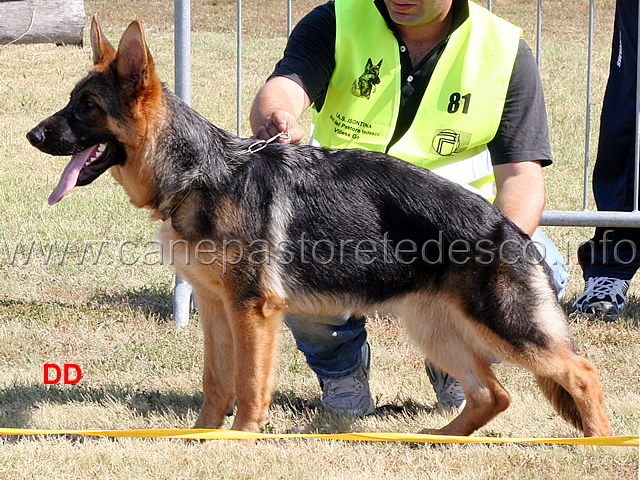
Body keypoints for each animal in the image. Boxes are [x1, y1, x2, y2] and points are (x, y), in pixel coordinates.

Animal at [27, 18, 612, 436]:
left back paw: (600, 445)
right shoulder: (216, 308)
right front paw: (201, 435)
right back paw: (436, 437)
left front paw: (242, 438)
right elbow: (216, 382)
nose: (32, 136)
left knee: (580, 373)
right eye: (71, 101)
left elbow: (249, 382)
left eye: (86, 106)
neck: (202, 171)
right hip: (434, 329)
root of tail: (507, 225)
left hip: (506, 325)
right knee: (495, 393)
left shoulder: (252, 311)